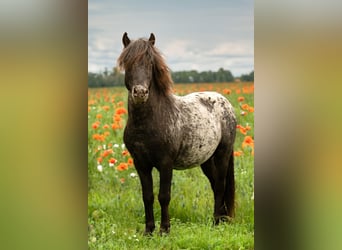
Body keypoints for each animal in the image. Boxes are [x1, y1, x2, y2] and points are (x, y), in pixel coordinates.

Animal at [116, 32, 236, 234]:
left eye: (150, 63)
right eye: (127, 62)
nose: (140, 93)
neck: (147, 123)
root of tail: (224, 102)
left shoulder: (166, 163)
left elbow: (164, 195)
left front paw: (165, 229)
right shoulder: (141, 164)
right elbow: (147, 196)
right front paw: (149, 231)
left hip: (223, 153)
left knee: (220, 185)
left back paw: (215, 222)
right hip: (206, 159)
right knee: (215, 185)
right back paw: (220, 220)